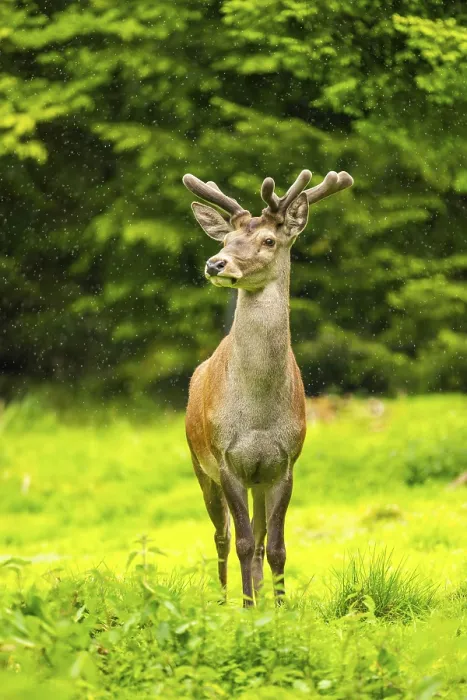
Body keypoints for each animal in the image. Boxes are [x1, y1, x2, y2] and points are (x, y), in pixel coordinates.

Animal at [183, 168, 353, 606]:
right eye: (225, 240)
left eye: (269, 240)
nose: (215, 263)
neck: (258, 416)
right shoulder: (226, 458)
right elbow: (242, 542)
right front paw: (245, 607)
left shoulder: (285, 461)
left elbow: (276, 545)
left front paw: (278, 607)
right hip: (199, 463)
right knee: (222, 536)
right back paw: (224, 599)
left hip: (256, 479)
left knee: (258, 537)